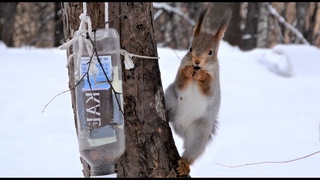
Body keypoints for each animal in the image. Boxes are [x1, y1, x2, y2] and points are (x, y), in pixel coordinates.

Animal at [164, 5, 231, 176]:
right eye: (190, 48)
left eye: (210, 52)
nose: (196, 61)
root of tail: (181, 129)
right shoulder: (180, 77)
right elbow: (180, 83)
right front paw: (187, 71)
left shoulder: (214, 81)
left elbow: (208, 88)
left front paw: (202, 75)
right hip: (171, 99)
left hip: (199, 132)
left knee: (193, 151)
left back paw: (184, 164)